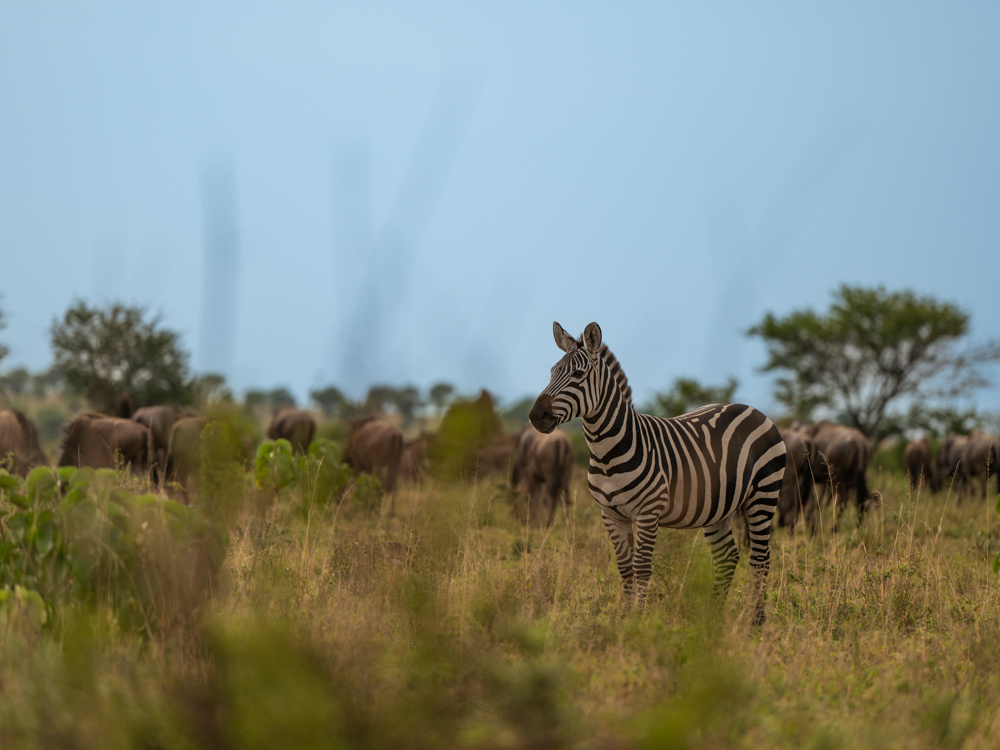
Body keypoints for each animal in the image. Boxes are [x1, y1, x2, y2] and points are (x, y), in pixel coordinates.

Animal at [528, 321, 786, 625]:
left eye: (578, 374)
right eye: (552, 372)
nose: (536, 416)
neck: (606, 453)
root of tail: (752, 409)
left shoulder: (647, 512)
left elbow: (641, 566)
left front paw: (638, 618)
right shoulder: (610, 514)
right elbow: (624, 567)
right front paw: (624, 617)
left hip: (763, 495)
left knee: (760, 558)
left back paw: (757, 621)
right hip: (719, 507)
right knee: (727, 557)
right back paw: (711, 618)